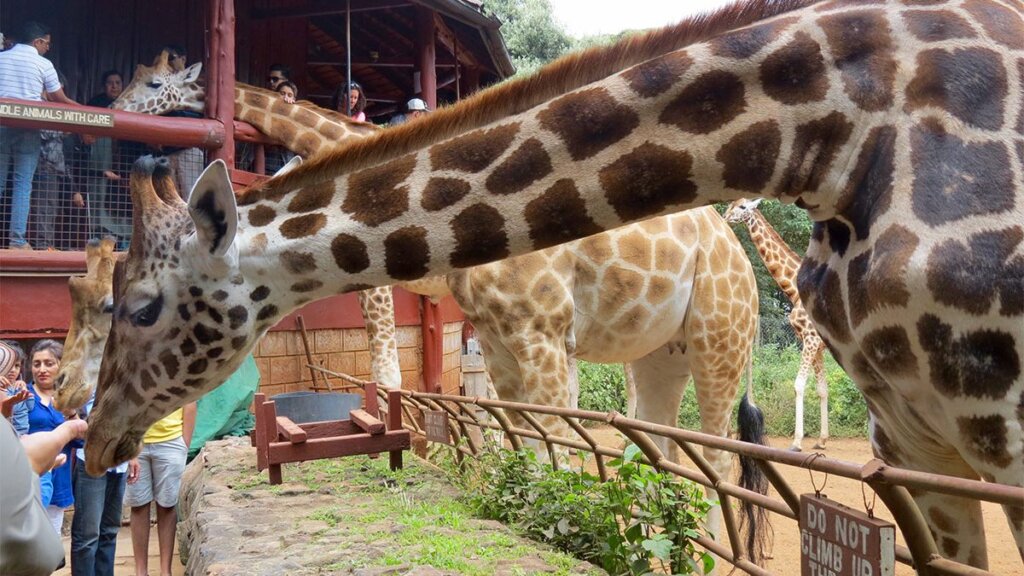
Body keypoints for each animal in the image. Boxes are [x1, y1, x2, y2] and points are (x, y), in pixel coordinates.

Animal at [725, 198, 829, 451]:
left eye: (742, 207)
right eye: (732, 204)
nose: (725, 216)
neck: (792, 289)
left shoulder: (810, 340)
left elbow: (799, 385)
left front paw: (797, 442)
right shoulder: (815, 345)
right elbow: (822, 389)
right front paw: (821, 440)